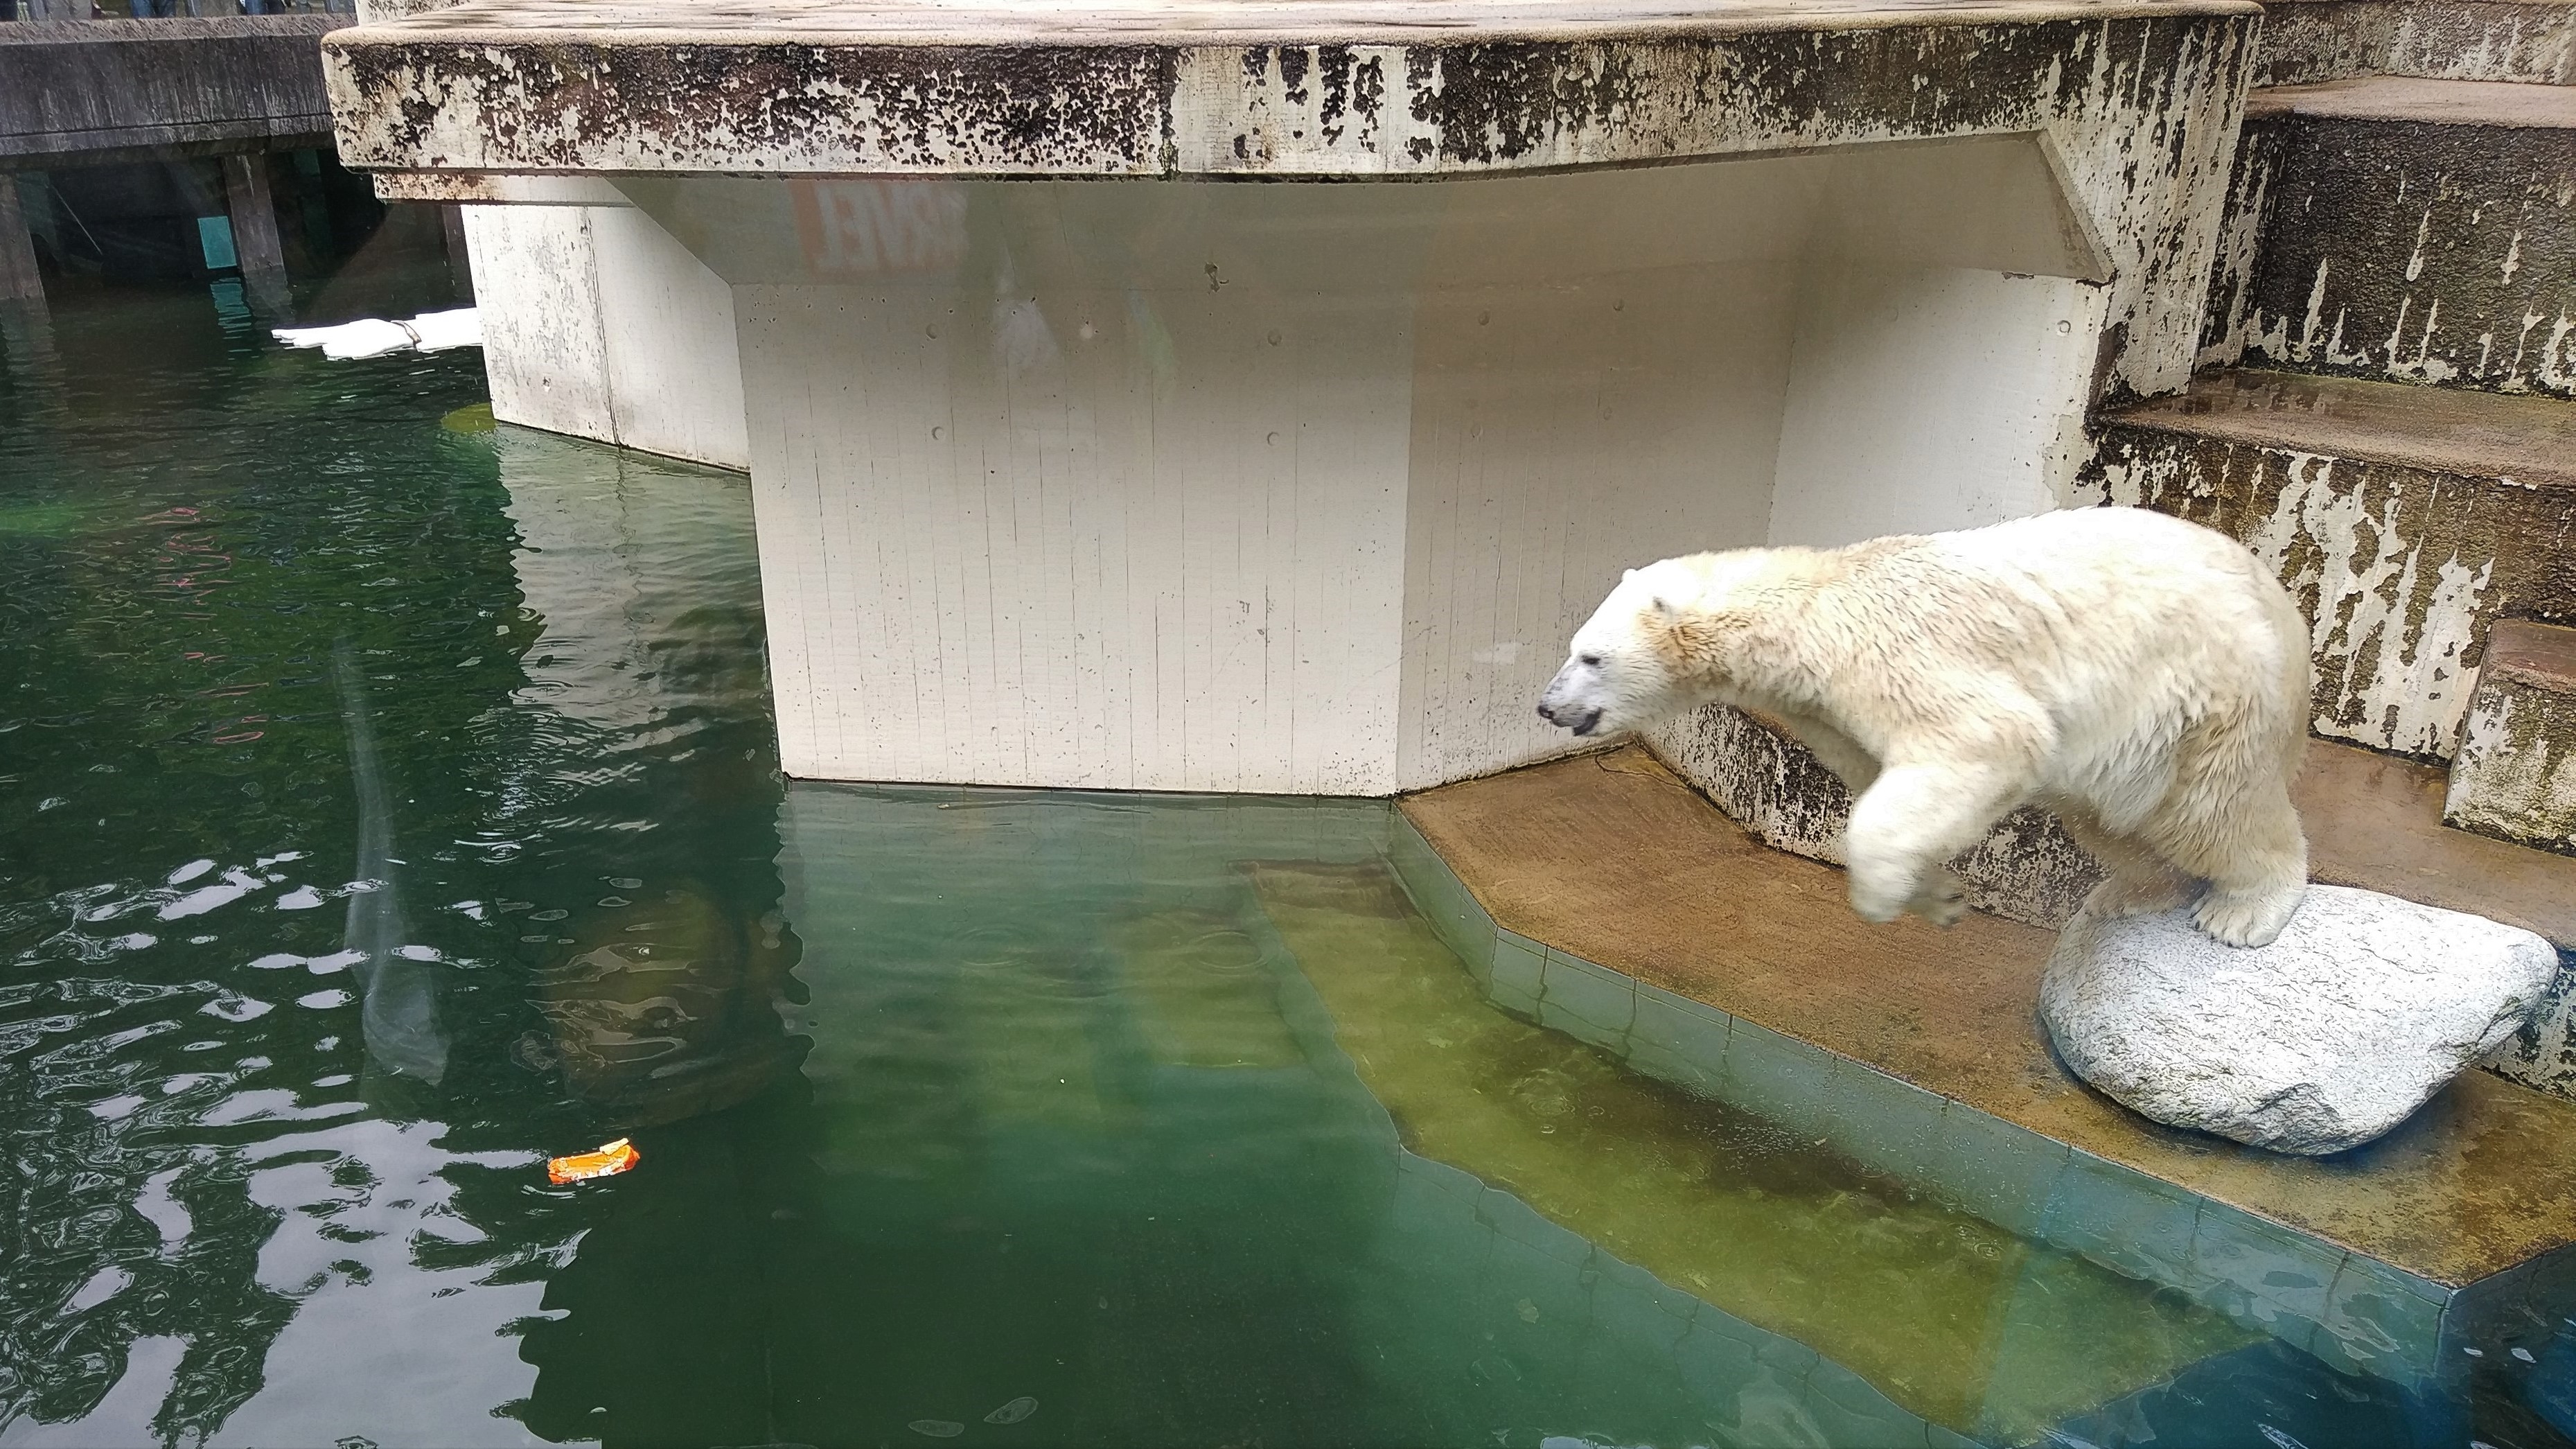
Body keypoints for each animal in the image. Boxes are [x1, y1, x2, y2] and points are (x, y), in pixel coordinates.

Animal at [1535, 506, 2312, 948]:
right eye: (1573, 647)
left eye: (1591, 656)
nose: (1547, 705)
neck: (1815, 601)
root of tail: (2290, 619)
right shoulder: (1830, 710)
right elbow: (1893, 781)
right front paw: (1937, 893)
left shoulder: (1897, 655)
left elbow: (1987, 739)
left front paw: (1884, 898)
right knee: (2110, 820)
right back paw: (2126, 896)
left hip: (2206, 694)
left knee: (2212, 807)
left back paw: (2243, 911)